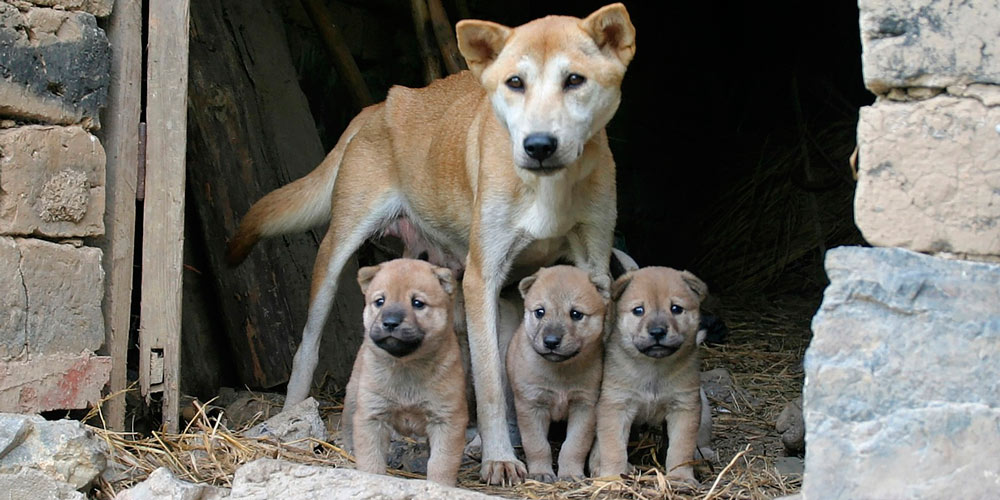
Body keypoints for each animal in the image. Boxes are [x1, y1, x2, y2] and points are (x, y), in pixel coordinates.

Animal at [344, 260, 468, 486]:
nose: (390, 322)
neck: (406, 366)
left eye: (417, 303)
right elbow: (371, 458)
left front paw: (441, 487)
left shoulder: (447, 419)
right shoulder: (372, 417)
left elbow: (442, 463)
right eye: (380, 301)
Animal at [508, 268, 608, 482]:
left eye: (576, 314)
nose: (551, 341)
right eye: (540, 312)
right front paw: (541, 473)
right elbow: (537, 445)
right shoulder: (531, 405)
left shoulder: (585, 406)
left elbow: (575, 445)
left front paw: (570, 474)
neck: (561, 372)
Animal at [592, 266, 712, 484]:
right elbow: (613, 448)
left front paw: (681, 478)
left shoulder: (684, 408)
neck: (653, 369)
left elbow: (680, 449)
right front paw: (613, 477)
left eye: (676, 308)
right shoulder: (616, 406)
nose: (657, 331)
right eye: (639, 310)